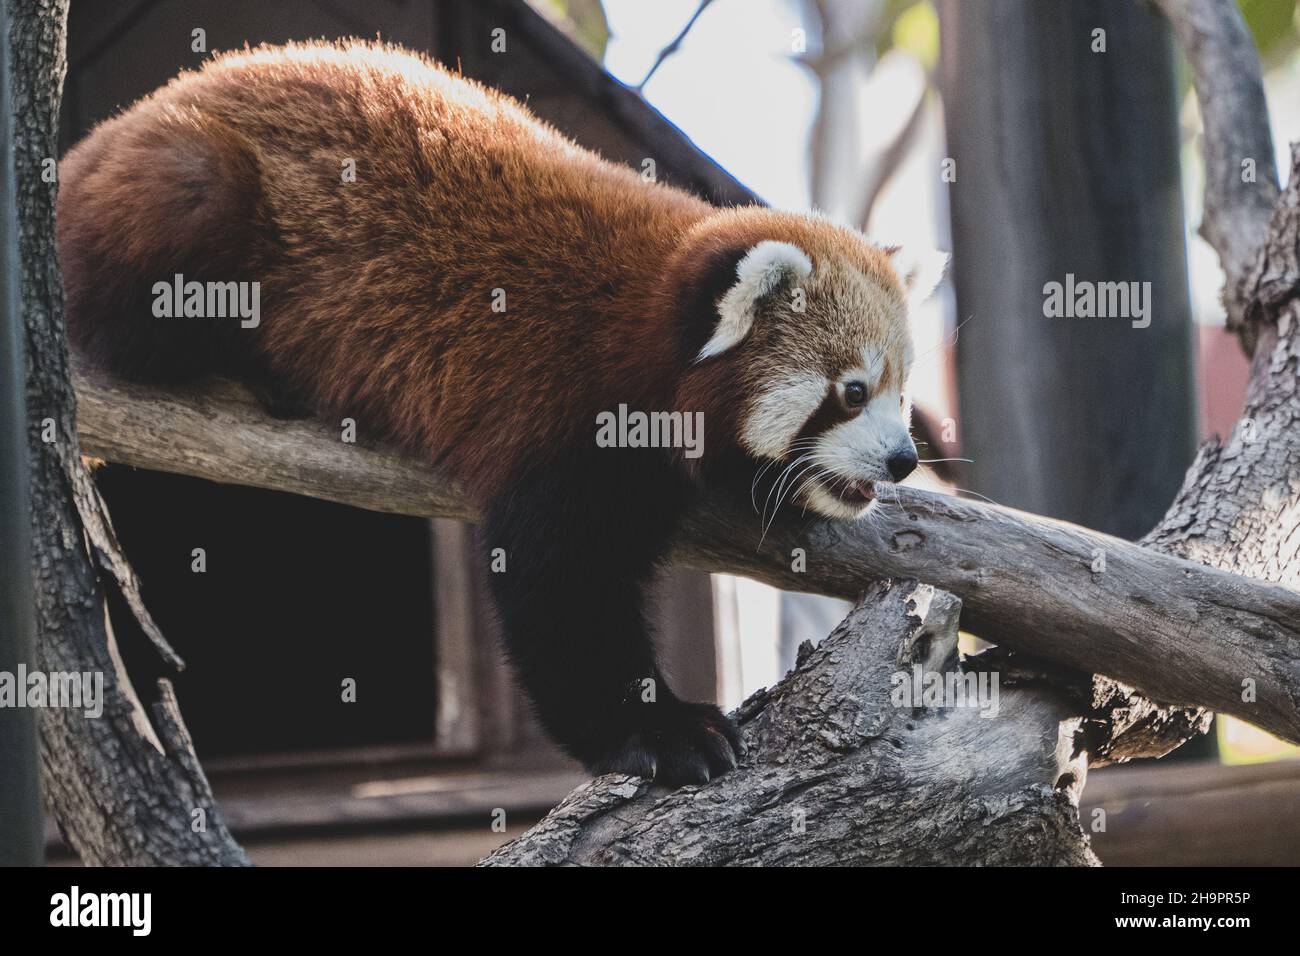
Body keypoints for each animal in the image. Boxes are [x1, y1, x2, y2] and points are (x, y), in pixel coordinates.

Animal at [61, 41, 941, 785]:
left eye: (901, 392)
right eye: (851, 391)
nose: (902, 459)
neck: (648, 326)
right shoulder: (560, 412)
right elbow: (559, 590)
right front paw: (660, 731)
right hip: (192, 185)